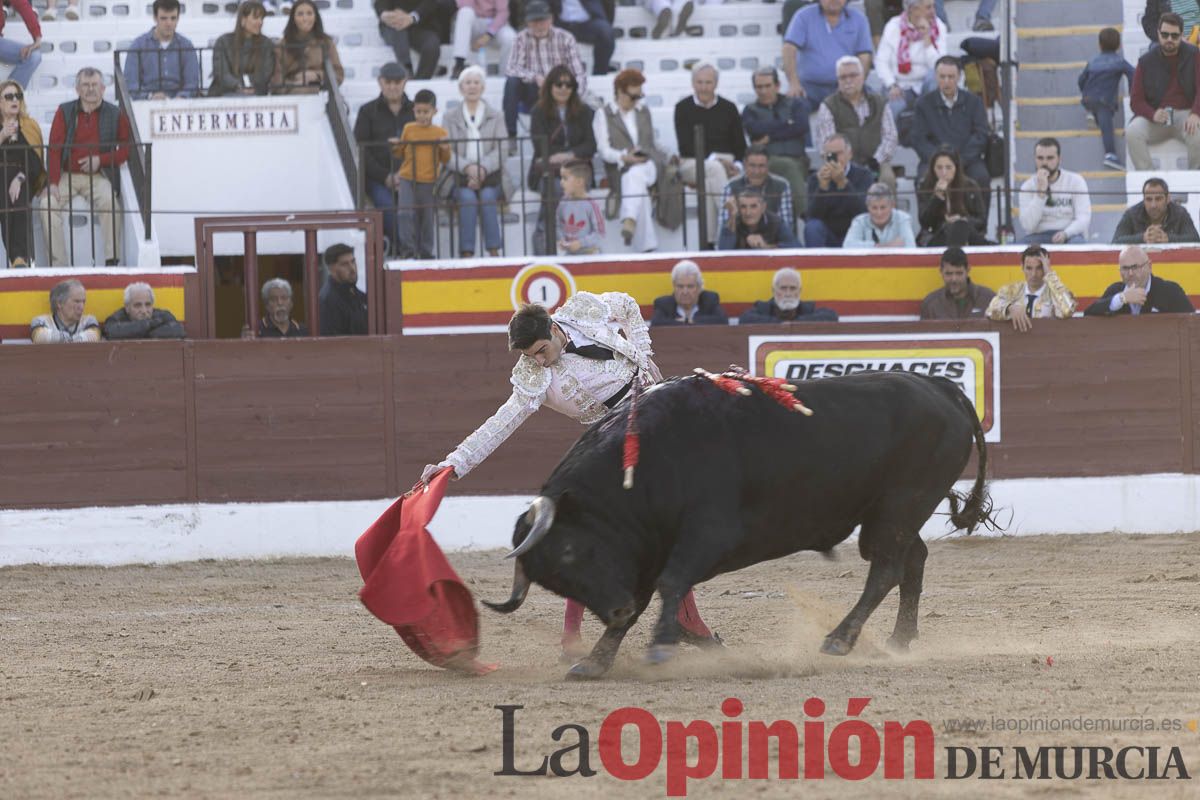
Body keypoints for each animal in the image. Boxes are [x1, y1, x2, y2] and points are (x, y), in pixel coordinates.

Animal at [482, 371, 988, 681]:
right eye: (554, 581)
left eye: (571, 551)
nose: (615, 610)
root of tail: (940, 386)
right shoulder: (645, 551)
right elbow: (650, 595)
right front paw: (594, 661)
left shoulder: (706, 535)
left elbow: (670, 584)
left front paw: (660, 648)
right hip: (896, 512)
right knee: (913, 560)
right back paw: (900, 641)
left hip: (897, 508)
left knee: (886, 568)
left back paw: (839, 640)